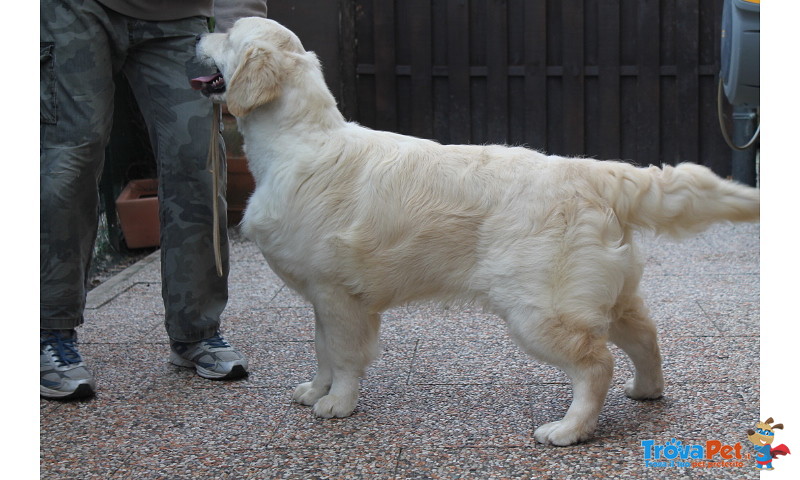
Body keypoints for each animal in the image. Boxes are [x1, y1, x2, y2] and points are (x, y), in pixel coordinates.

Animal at [192, 18, 756, 446]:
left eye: (228, 34)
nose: (199, 32)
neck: (297, 141)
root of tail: (592, 172)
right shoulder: (321, 296)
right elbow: (321, 349)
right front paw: (316, 389)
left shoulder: (340, 294)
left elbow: (345, 355)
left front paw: (338, 403)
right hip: (607, 293)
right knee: (645, 336)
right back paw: (648, 390)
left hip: (540, 308)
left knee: (595, 364)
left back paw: (568, 429)